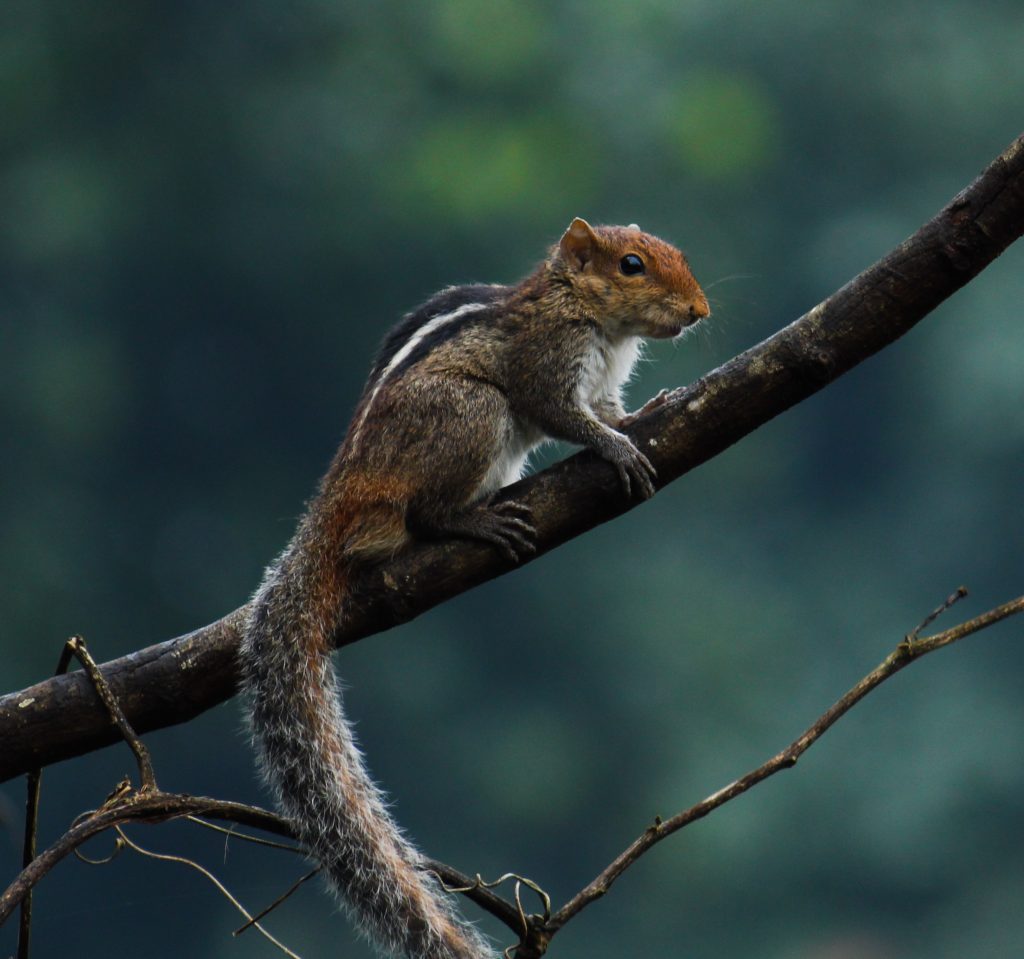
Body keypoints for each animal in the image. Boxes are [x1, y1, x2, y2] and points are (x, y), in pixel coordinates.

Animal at [240, 216, 708, 957]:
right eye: (632, 265)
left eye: (679, 254)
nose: (700, 311)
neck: (594, 320)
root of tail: (337, 503)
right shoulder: (548, 364)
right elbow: (566, 415)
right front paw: (616, 446)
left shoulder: (602, 380)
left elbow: (608, 408)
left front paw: (639, 417)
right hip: (472, 414)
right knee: (426, 514)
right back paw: (472, 519)